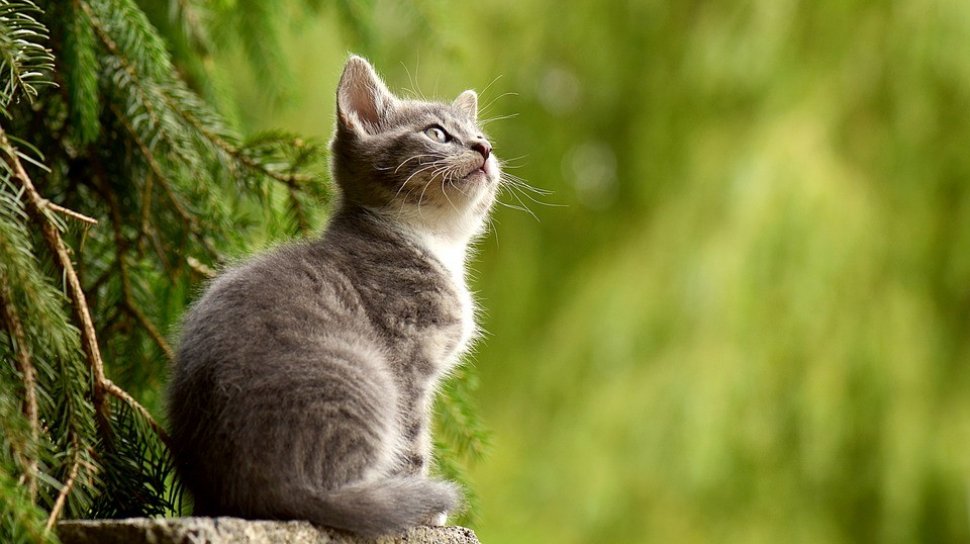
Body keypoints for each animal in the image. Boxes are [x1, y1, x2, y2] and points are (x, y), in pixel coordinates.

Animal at [165, 56, 496, 536]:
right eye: (436, 133)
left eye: (482, 135)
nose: (484, 149)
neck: (432, 241)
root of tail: (266, 493)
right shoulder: (408, 361)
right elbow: (412, 440)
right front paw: (425, 511)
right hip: (367, 377)